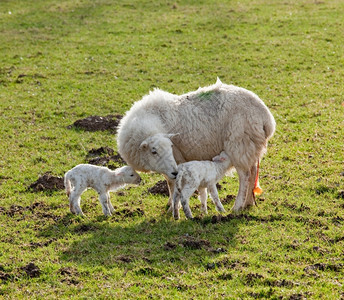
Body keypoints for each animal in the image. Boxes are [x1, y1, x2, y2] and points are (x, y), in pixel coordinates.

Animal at [117, 78, 276, 212]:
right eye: (154, 151)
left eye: (170, 147)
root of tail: (266, 117)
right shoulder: (169, 166)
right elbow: (169, 182)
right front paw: (170, 203)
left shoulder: (176, 160)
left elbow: (173, 183)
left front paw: (173, 207)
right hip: (251, 147)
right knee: (253, 171)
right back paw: (248, 203)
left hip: (239, 145)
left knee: (245, 176)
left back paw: (237, 206)